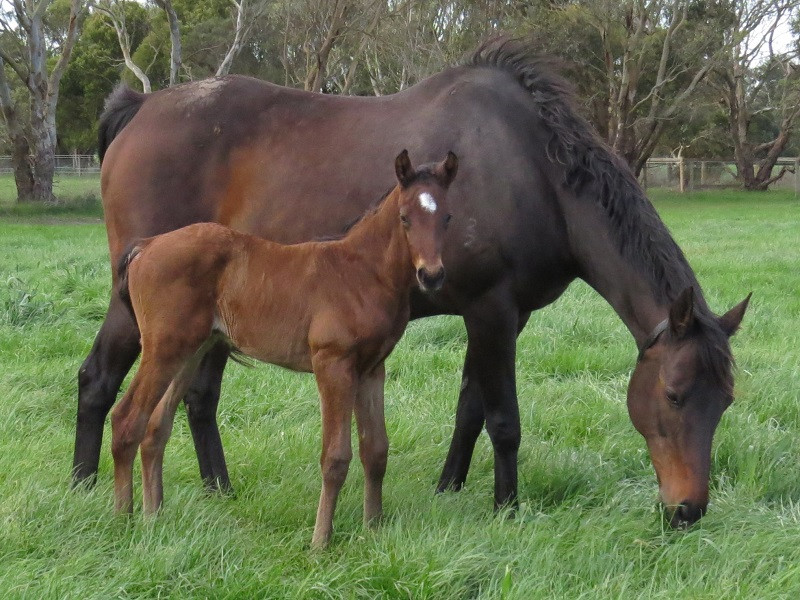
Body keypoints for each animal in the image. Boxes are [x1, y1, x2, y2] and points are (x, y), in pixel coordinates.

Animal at [111, 151, 456, 548]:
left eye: (447, 217)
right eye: (404, 217)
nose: (432, 275)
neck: (362, 273)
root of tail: (146, 246)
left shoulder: (372, 368)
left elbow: (376, 450)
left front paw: (373, 529)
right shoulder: (333, 363)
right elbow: (335, 457)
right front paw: (320, 542)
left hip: (191, 350)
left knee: (156, 426)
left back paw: (154, 517)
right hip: (163, 347)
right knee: (126, 419)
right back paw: (123, 521)